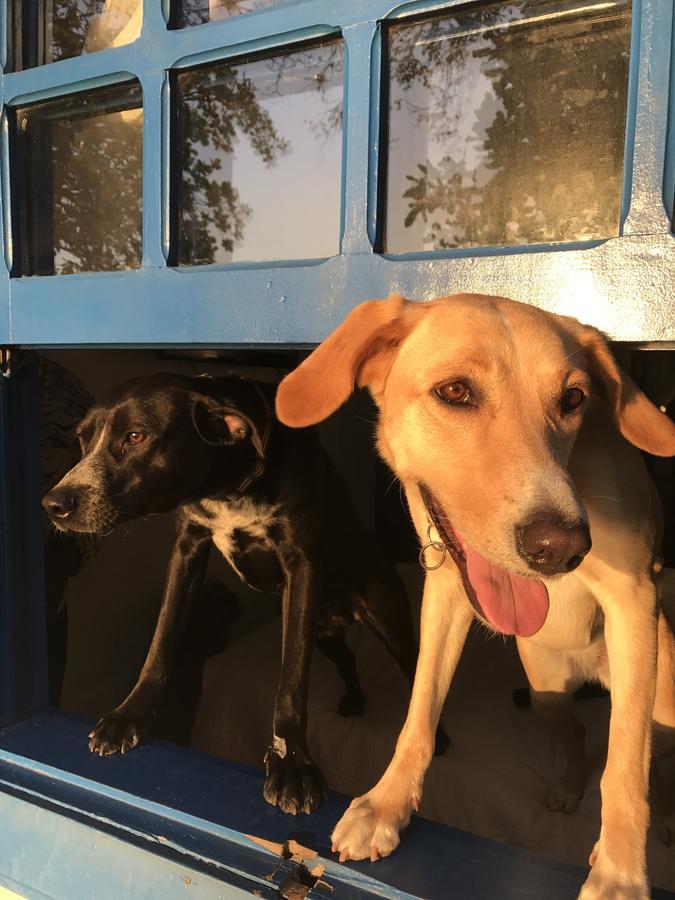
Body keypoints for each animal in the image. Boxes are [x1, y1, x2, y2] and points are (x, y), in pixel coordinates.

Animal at [42, 372, 444, 816]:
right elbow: (161, 639)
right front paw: (130, 714)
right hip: (323, 631)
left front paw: (292, 764)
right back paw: (354, 702)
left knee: (415, 673)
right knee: (347, 658)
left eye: (135, 436)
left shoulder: (301, 565)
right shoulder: (187, 551)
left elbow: (291, 679)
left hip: (388, 619)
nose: (53, 504)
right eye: (82, 439)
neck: (229, 486)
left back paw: (438, 738)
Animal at [276, 296, 675, 900]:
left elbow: (625, 767)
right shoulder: (445, 592)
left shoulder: (632, 598)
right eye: (455, 391)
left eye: (573, 399)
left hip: (662, 695)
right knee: (578, 731)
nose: (560, 548)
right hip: (545, 690)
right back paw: (567, 788)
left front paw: (621, 873)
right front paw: (387, 803)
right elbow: (419, 709)